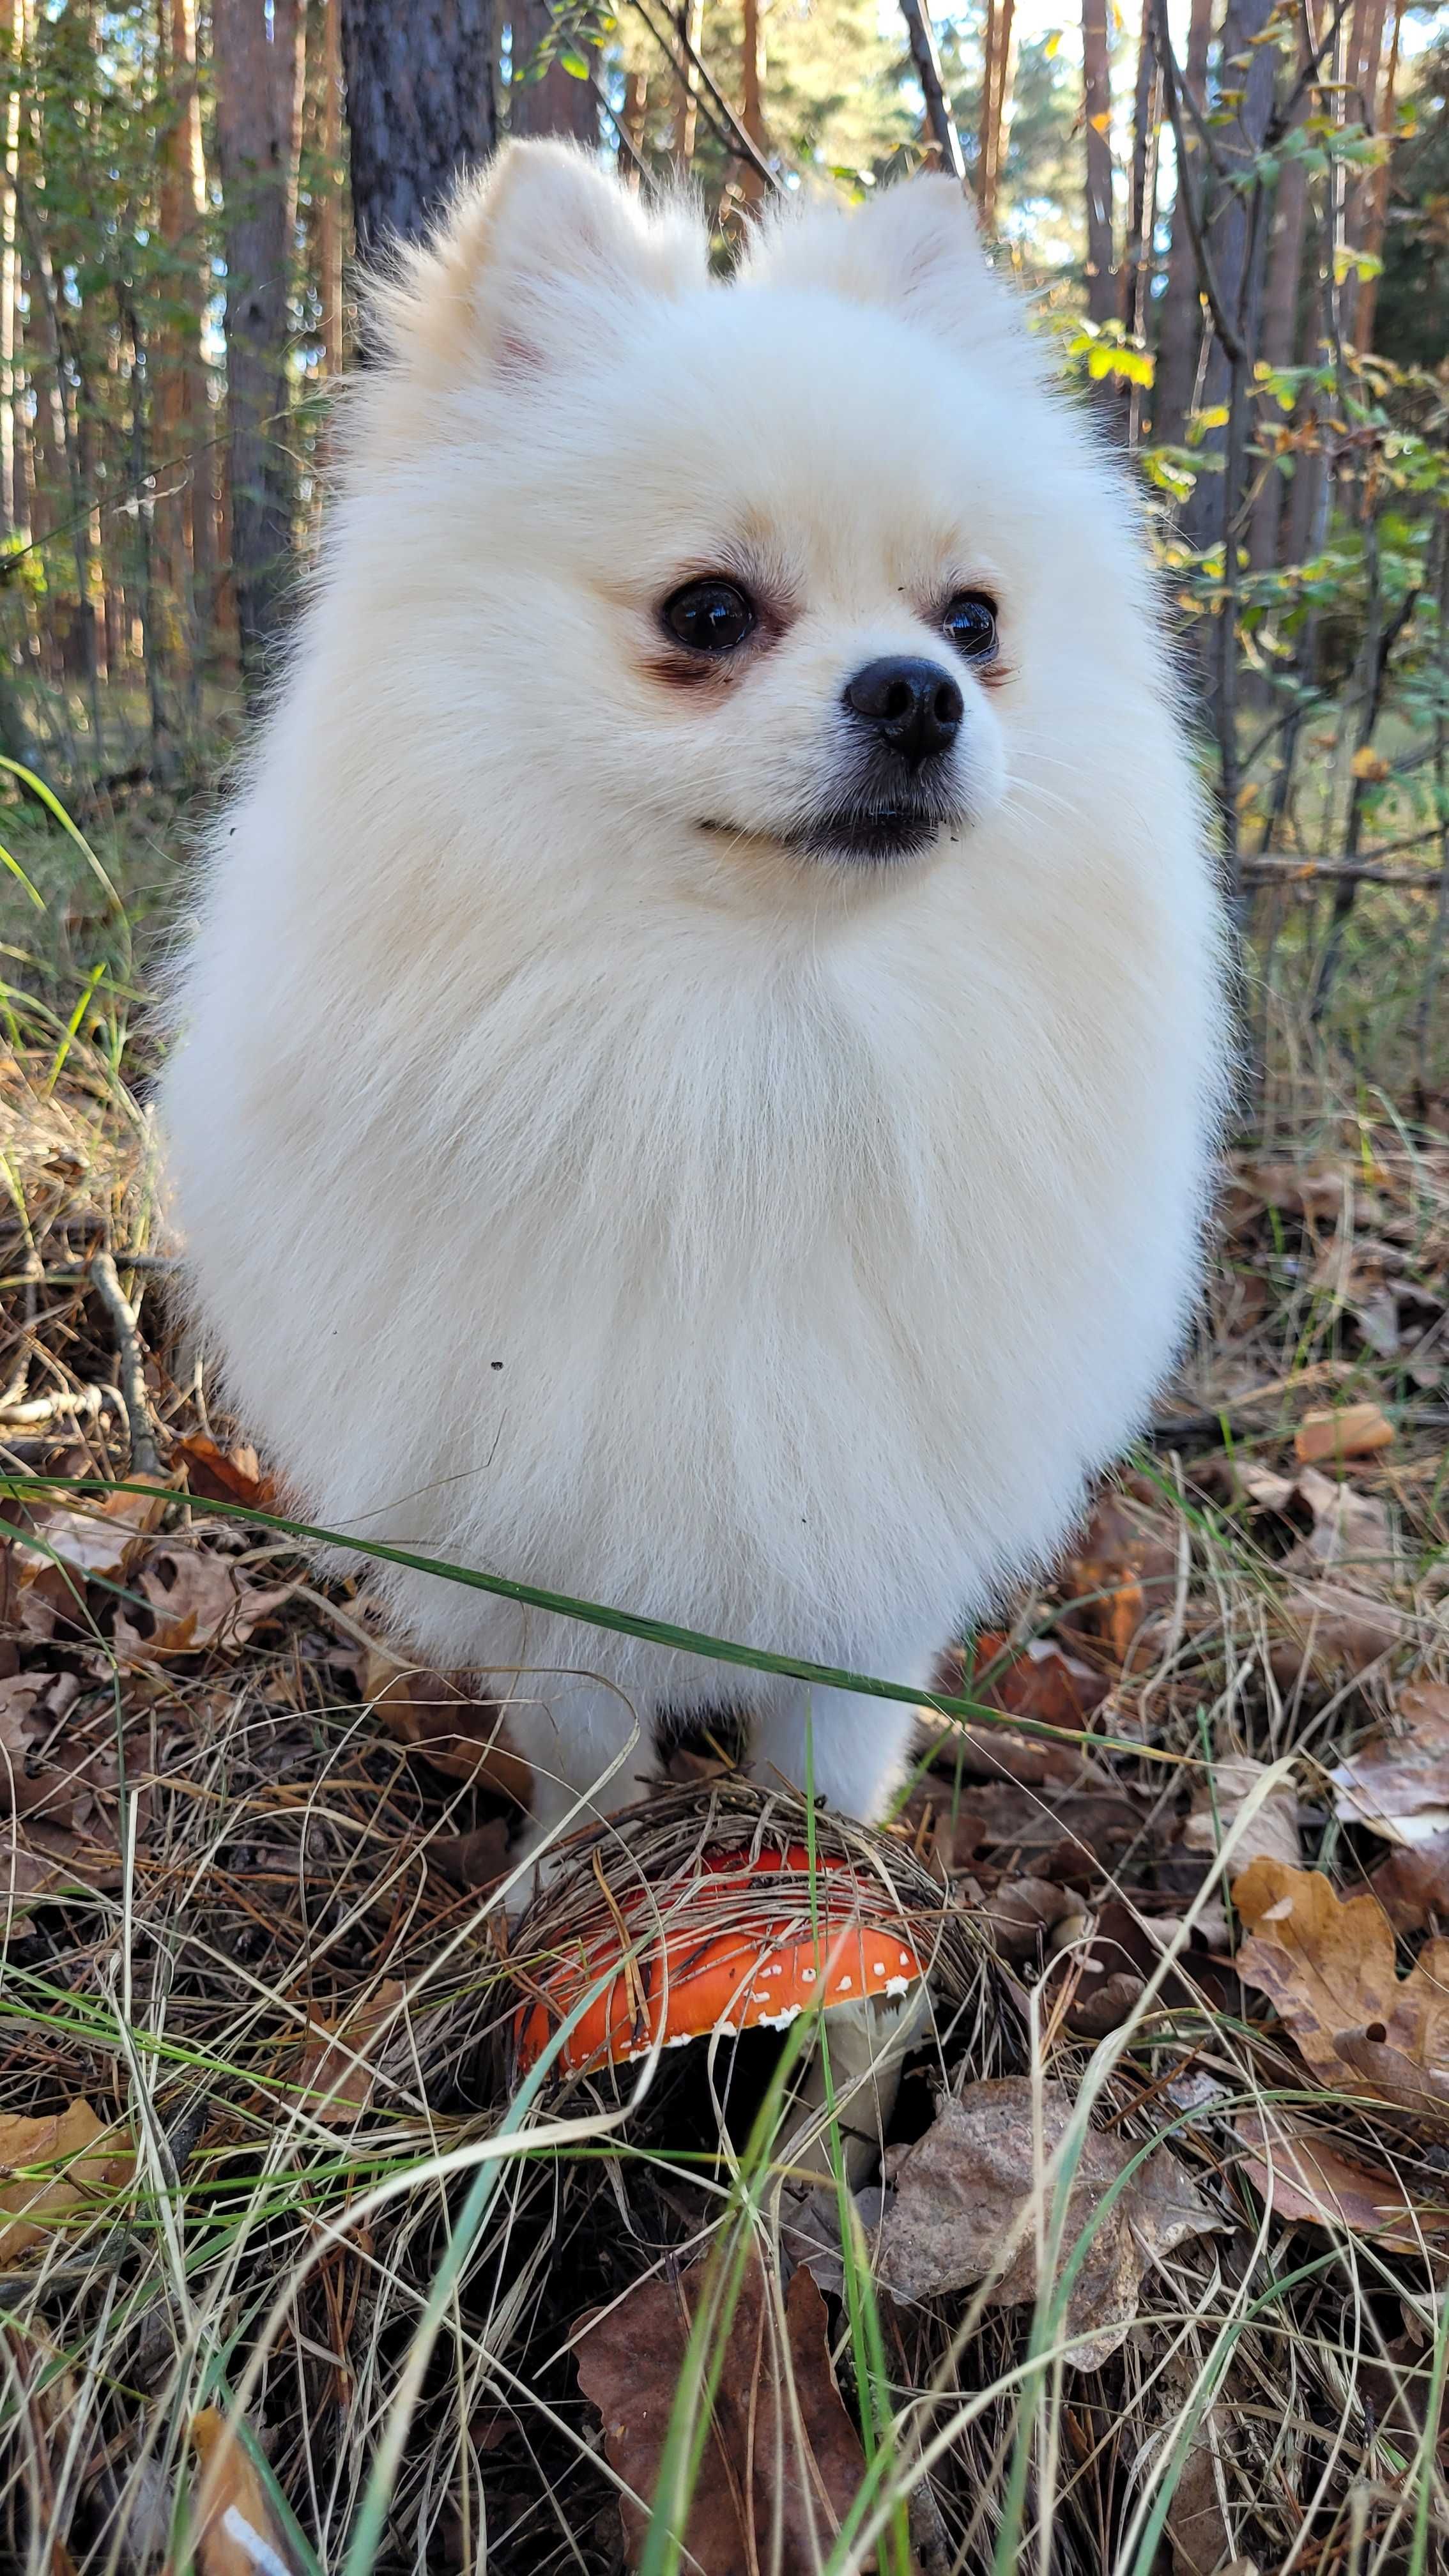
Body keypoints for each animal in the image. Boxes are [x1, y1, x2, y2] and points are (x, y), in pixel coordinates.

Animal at [160, 150, 1216, 1906]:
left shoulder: (871, 1535)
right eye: (711, 612)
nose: (917, 692)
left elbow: (832, 1736)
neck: (755, 1043)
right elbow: (585, 1743)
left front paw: (827, 1865)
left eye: (974, 619)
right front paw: (564, 1888)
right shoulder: (547, 1531)